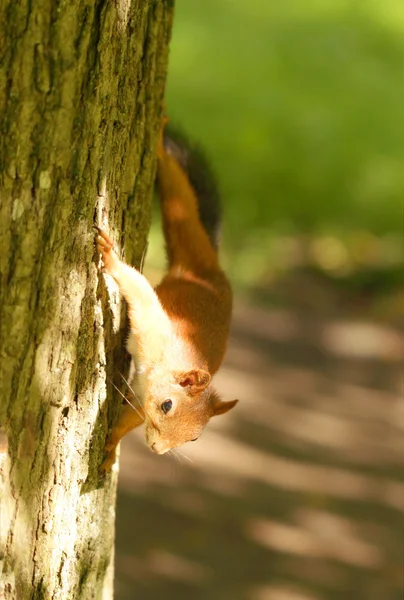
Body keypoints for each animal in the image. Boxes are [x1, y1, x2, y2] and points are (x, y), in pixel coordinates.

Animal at [96, 118, 238, 474]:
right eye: (167, 405)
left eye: (195, 438)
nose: (157, 449)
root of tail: (209, 271)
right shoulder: (154, 325)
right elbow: (138, 289)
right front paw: (112, 259)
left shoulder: (139, 392)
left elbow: (129, 419)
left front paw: (110, 447)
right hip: (184, 227)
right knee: (180, 197)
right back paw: (160, 141)